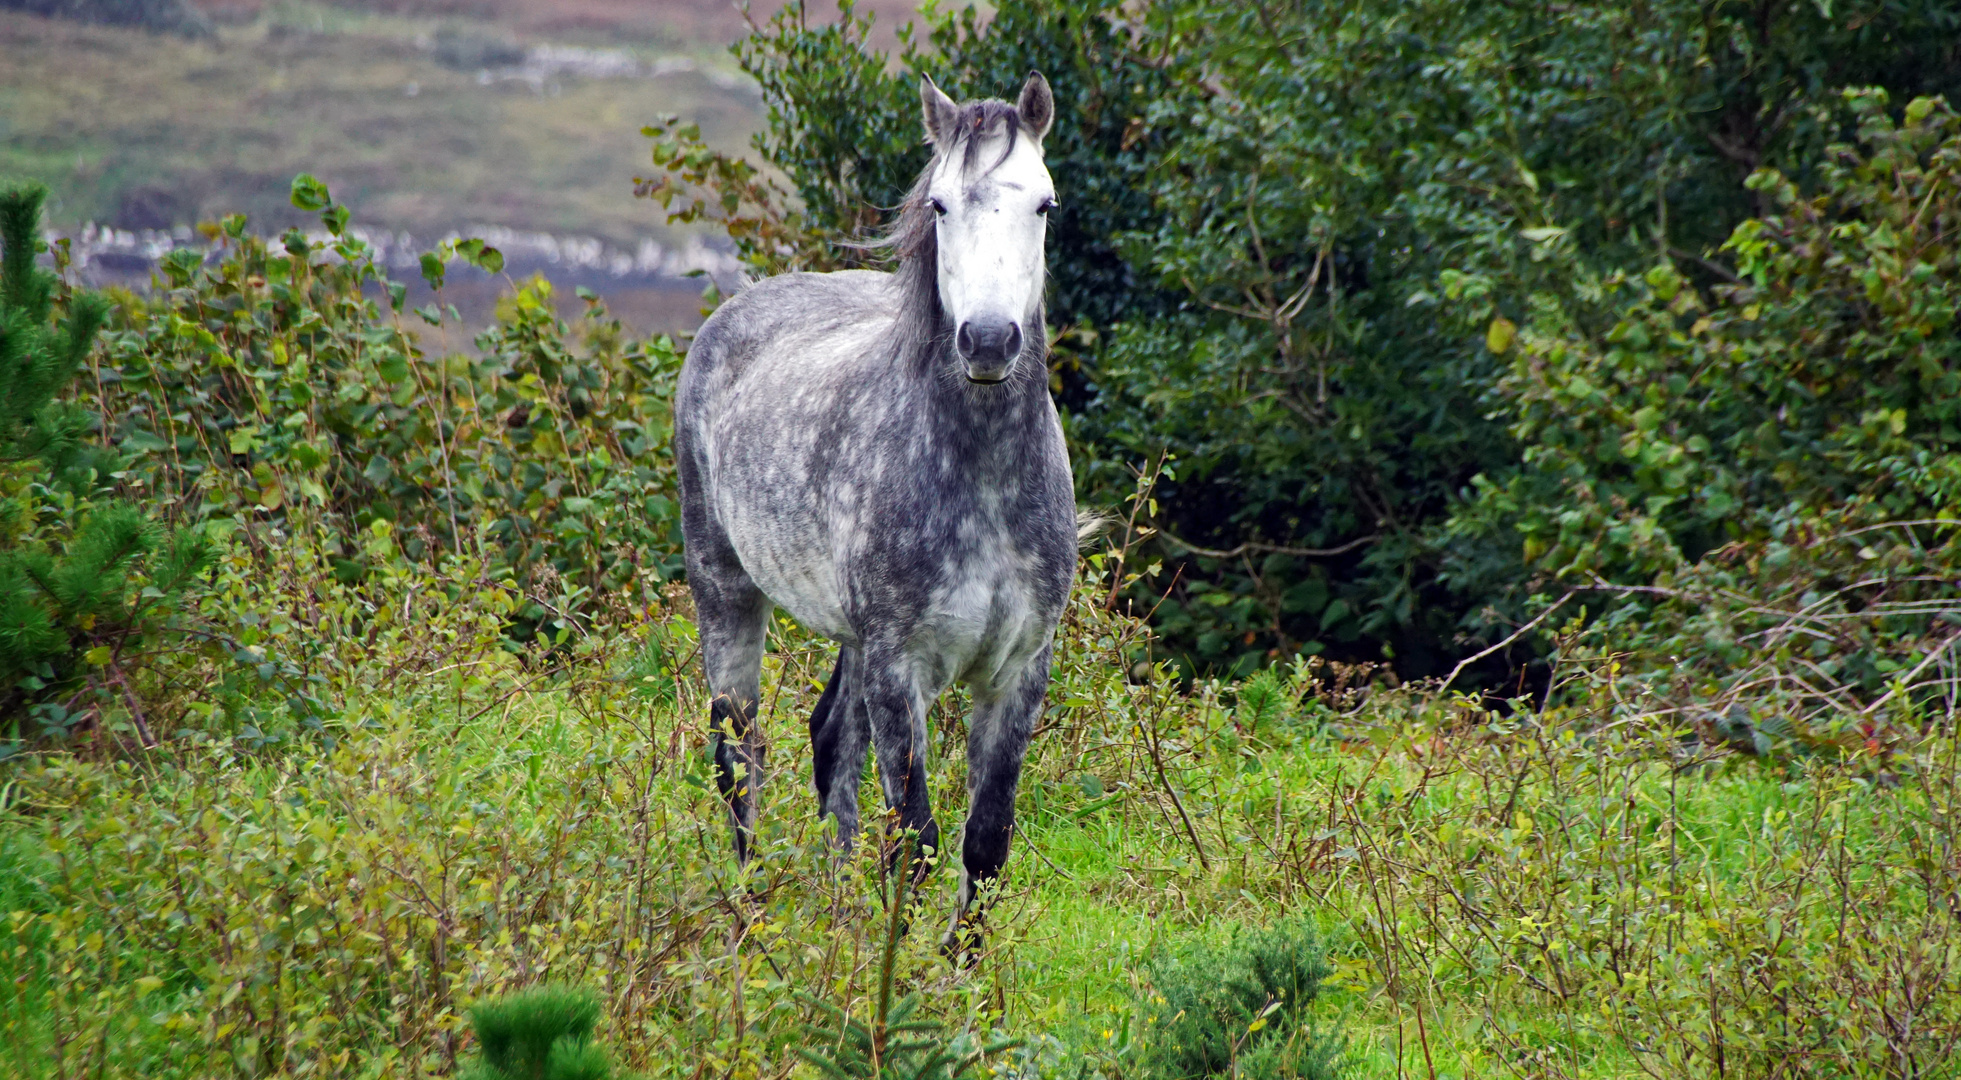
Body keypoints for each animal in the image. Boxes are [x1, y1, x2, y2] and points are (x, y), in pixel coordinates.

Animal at [674, 73, 1074, 948]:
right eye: (940, 206)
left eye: (1044, 204)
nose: (986, 341)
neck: (982, 483)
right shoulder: (901, 668)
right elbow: (915, 842)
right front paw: (901, 974)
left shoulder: (1019, 671)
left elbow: (984, 845)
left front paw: (964, 981)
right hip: (725, 590)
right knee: (738, 752)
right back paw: (754, 925)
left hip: (852, 637)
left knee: (829, 741)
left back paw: (833, 915)